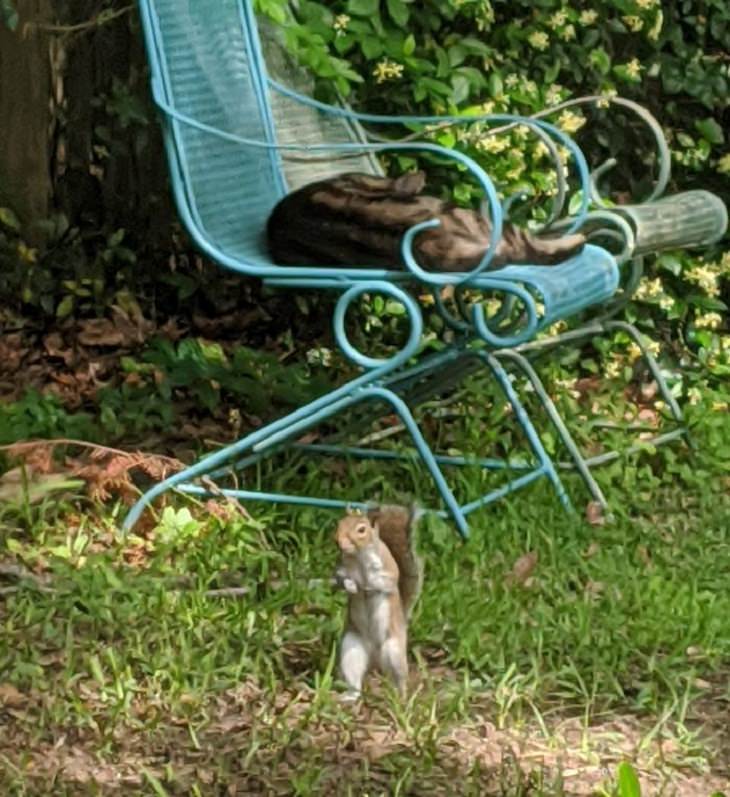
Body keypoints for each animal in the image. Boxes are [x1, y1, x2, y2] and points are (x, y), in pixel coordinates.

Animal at [332, 504, 420, 696]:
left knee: (400, 680)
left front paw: (367, 586)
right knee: (355, 677)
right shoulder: (341, 570)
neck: (359, 556)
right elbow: (340, 580)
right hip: (351, 648)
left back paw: (400, 697)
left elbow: (384, 582)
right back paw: (351, 696)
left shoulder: (389, 571)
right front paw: (352, 587)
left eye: (361, 530)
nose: (338, 542)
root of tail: (375, 660)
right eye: (339, 523)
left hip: (393, 652)